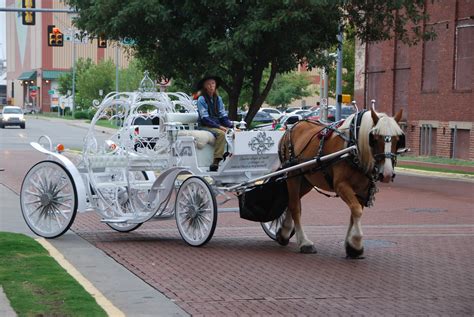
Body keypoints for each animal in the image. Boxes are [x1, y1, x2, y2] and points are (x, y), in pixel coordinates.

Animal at [278, 108, 404, 256]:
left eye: (398, 139)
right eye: (375, 138)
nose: (387, 174)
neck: (354, 146)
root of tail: (290, 128)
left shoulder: (362, 190)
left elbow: (354, 213)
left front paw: (351, 246)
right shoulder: (341, 185)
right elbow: (356, 210)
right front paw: (356, 241)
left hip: (306, 180)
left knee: (292, 201)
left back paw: (284, 232)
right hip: (292, 176)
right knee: (295, 206)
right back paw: (304, 242)